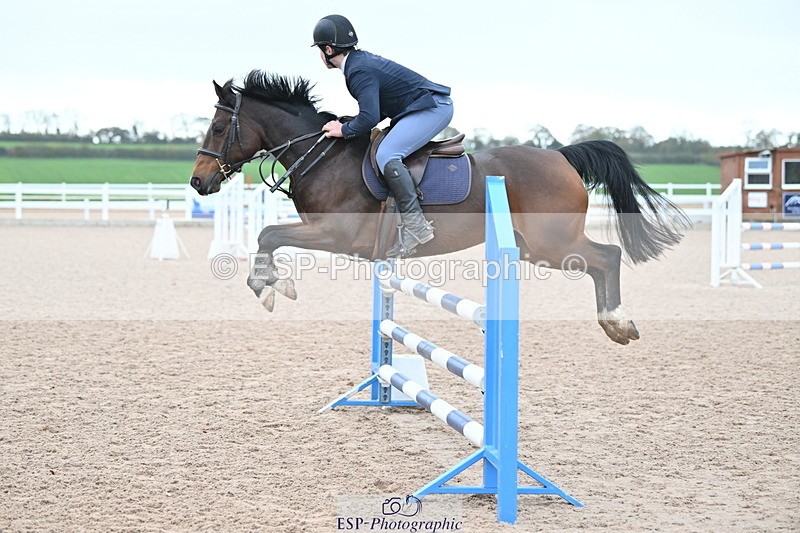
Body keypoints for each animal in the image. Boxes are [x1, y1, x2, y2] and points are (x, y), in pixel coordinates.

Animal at [190, 70, 689, 345]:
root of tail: (561, 156)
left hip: (552, 242)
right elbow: (269, 237)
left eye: (218, 128)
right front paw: (276, 284)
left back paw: (617, 322)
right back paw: (615, 324)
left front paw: (270, 288)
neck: (323, 155)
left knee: (607, 256)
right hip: (536, 248)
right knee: (601, 260)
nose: (198, 181)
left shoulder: (336, 235)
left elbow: (268, 234)